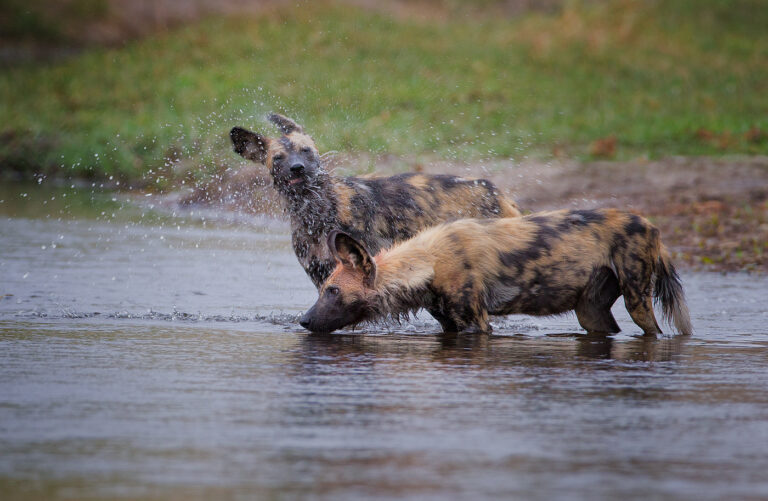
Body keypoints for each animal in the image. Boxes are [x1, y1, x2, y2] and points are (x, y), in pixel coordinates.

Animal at [228, 112, 516, 288]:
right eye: (278, 158)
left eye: (306, 151)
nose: (297, 168)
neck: (316, 210)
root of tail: (496, 191)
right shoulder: (322, 273)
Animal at [298, 207, 688, 336]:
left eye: (332, 291)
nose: (303, 320)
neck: (428, 263)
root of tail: (651, 225)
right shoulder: (451, 326)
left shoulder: (476, 325)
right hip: (590, 313)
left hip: (637, 300)